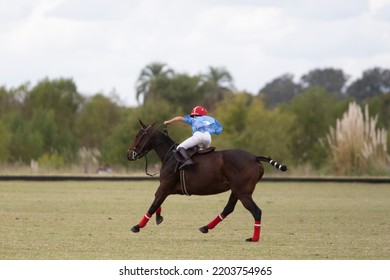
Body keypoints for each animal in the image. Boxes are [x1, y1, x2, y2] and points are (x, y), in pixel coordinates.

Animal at [127, 120, 286, 241]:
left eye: (137, 135)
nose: (129, 154)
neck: (170, 155)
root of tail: (254, 158)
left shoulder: (165, 186)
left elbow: (154, 204)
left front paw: (137, 226)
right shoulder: (168, 188)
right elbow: (157, 202)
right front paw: (158, 217)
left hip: (243, 192)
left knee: (256, 211)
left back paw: (254, 238)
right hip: (237, 190)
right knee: (228, 208)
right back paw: (205, 227)